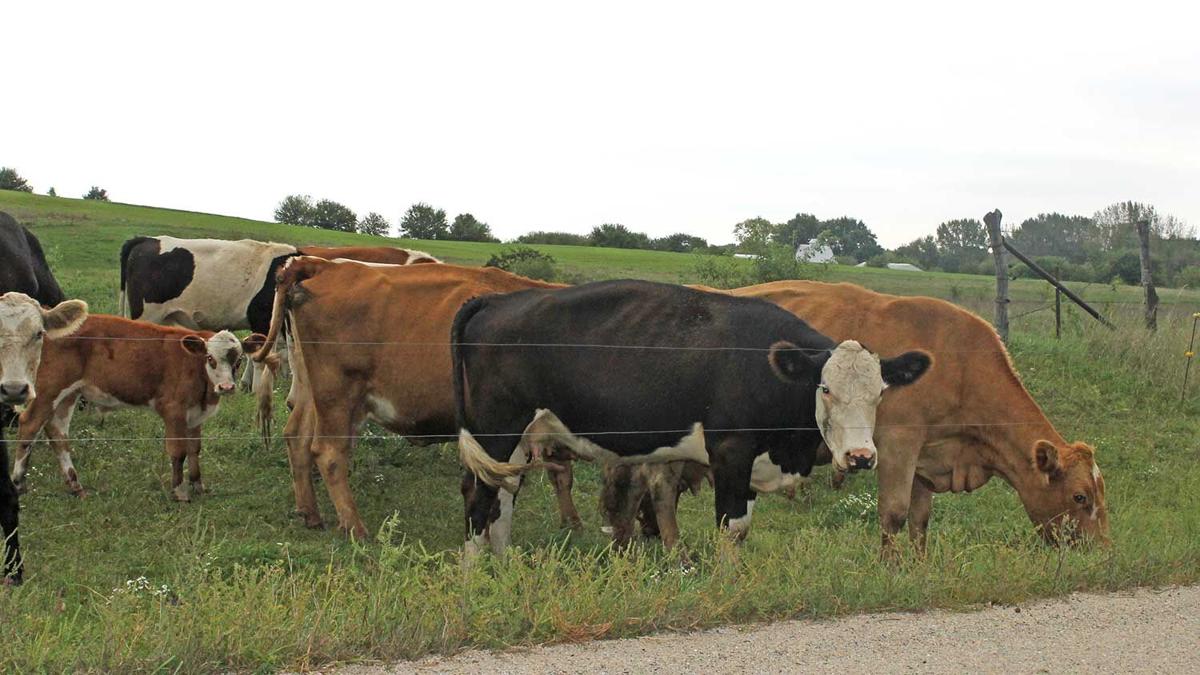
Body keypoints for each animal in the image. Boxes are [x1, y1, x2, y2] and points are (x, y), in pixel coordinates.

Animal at [10, 315, 266, 502]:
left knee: (57, 433)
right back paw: (19, 483)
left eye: (238, 360)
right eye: (210, 359)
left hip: (69, 394)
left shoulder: (195, 415)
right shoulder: (173, 410)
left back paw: (76, 486)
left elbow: (195, 449)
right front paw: (180, 492)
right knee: (29, 425)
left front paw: (198, 485)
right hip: (49, 389)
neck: (195, 368)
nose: (227, 387)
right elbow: (178, 451)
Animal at [250, 258, 566, 539]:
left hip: (311, 390)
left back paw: (311, 514)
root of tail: (324, 264)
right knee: (328, 452)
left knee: (297, 436)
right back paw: (355, 528)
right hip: (337, 395)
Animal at [453, 280, 931, 557]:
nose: (860, 456)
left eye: (880, 393)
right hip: (495, 431)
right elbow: (732, 527)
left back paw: (504, 567)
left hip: (518, 441)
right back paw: (476, 575)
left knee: (502, 502)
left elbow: (740, 526)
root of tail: (494, 299)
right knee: (479, 499)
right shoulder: (731, 451)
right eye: (826, 388)